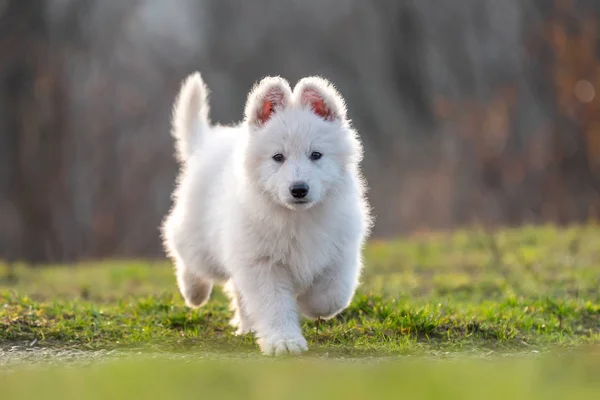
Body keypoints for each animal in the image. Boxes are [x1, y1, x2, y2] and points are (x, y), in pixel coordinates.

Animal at [162, 72, 372, 356]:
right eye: (278, 157)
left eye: (316, 155)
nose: (299, 189)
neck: (297, 217)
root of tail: (205, 144)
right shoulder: (262, 265)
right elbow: (275, 306)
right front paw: (284, 341)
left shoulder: (341, 251)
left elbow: (332, 295)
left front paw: (308, 304)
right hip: (202, 240)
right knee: (185, 252)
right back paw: (194, 291)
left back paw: (247, 325)